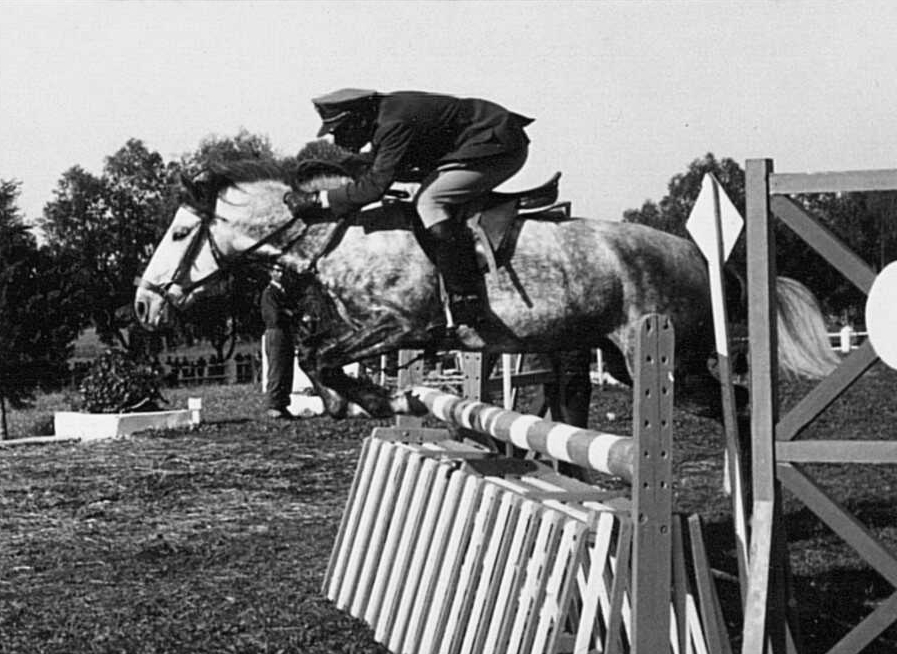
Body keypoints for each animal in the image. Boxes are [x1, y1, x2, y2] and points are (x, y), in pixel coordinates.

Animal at [135, 160, 840, 420]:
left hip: (668, 354)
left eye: (179, 233)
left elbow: (319, 356)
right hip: (622, 357)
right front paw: (369, 403)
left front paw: (379, 401)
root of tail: (695, 253)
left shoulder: (401, 325)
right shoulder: (370, 330)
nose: (143, 304)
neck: (344, 235)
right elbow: (317, 356)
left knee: (733, 398)